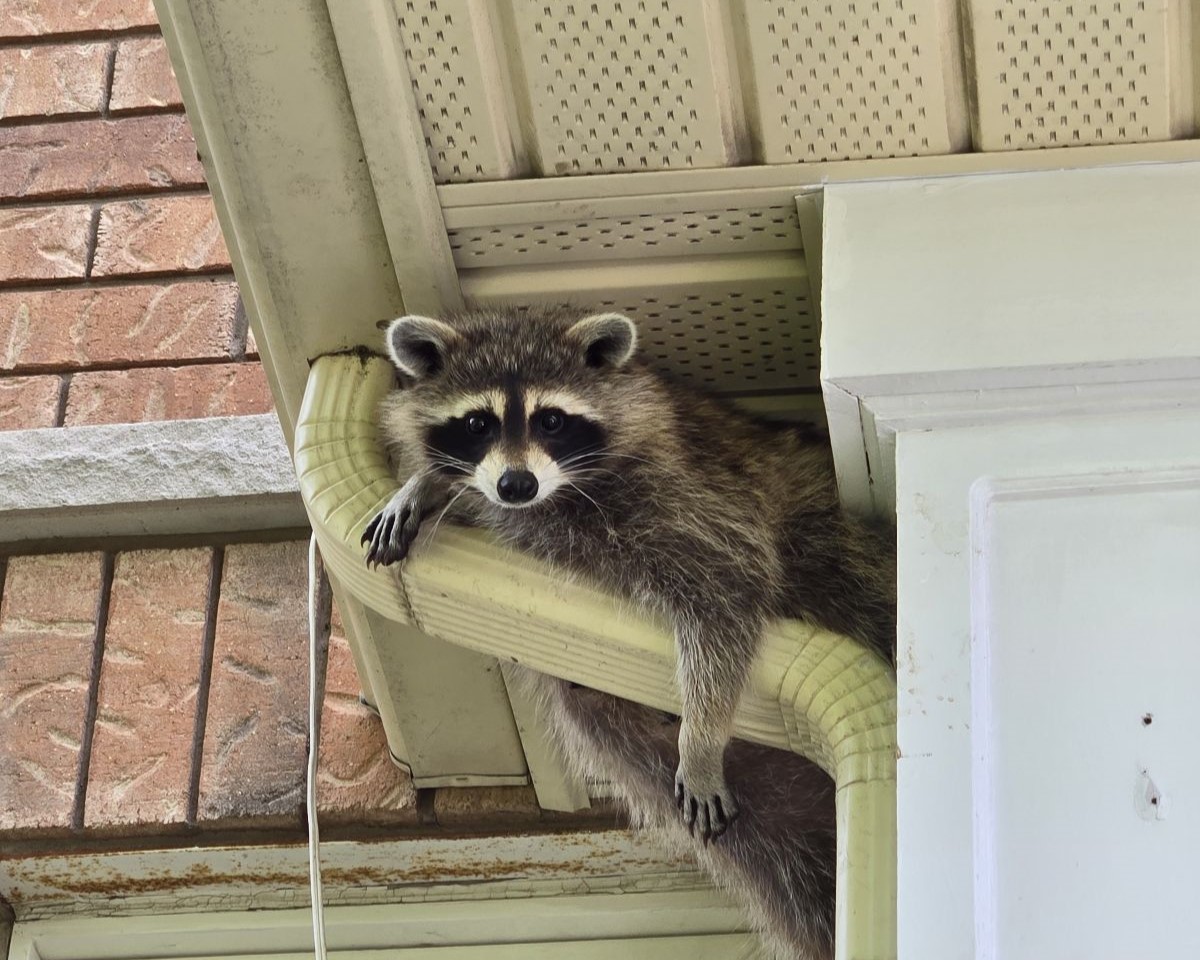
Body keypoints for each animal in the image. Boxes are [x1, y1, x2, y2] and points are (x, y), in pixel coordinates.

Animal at [363, 305, 895, 959]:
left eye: (552, 419)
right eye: (476, 423)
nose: (516, 485)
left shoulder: (693, 498)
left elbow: (726, 594)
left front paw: (702, 735)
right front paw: (423, 485)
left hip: (838, 552)